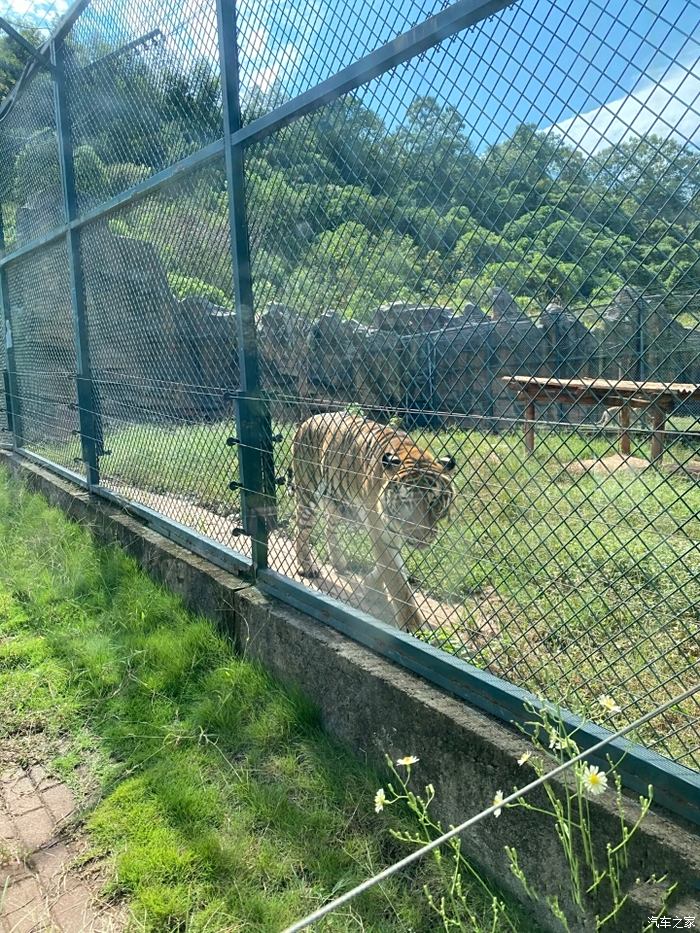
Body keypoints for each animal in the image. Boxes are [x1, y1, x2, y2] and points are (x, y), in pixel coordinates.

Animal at [288, 412, 456, 628]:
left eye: (433, 501)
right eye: (406, 502)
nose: (421, 537)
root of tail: (310, 419)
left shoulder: (392, 532)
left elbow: (392, 568)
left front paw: (371, 584)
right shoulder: (380, 529)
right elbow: (397, 581)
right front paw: (413, 627)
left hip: (336, 500)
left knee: (329, 527)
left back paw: (338, 561)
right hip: (308, 492)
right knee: (300, 529)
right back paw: (308, 567)